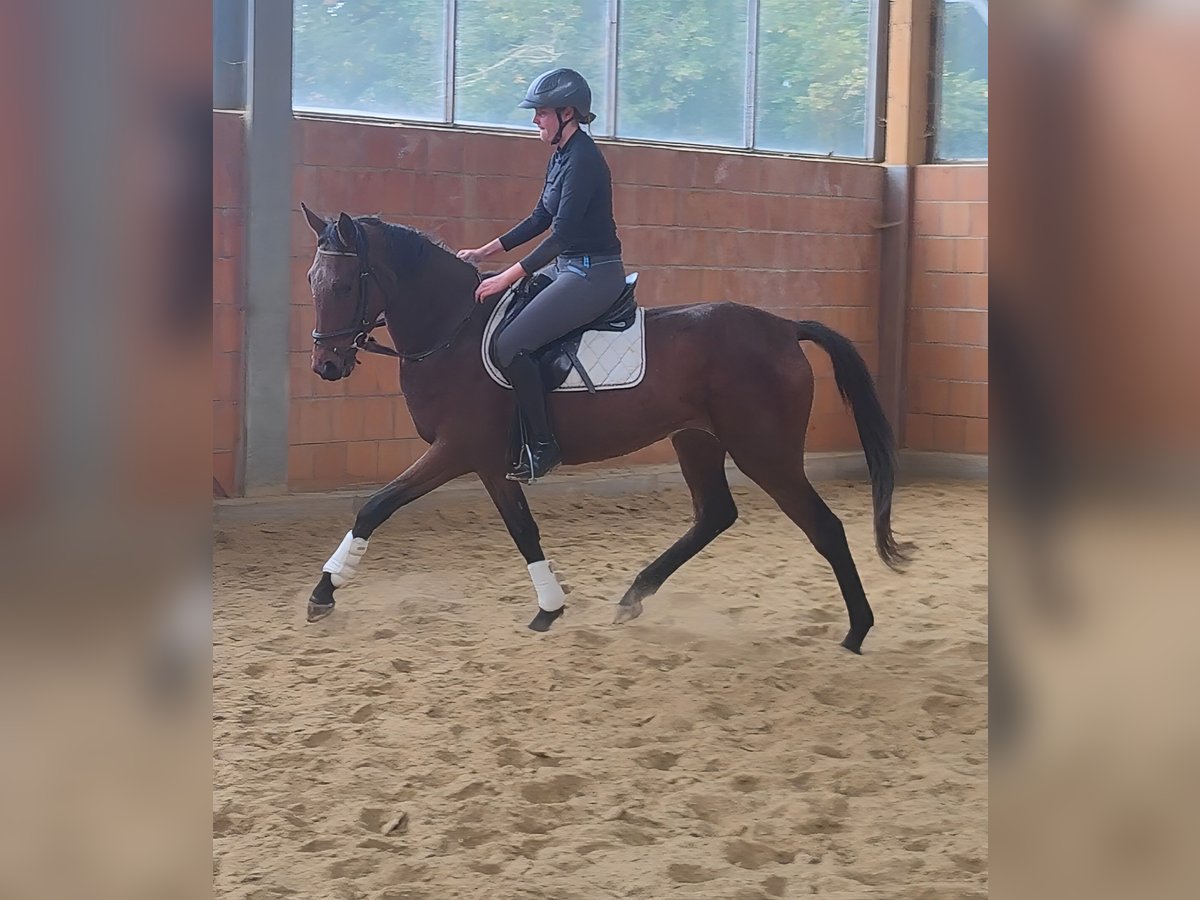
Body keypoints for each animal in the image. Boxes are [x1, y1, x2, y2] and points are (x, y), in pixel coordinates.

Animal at [300, 204, 909, 653]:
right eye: (312, 280)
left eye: (344, 284)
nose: (326, 365)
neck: (454, 331)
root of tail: (783, 327)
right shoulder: (491, 463)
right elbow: (521, 531)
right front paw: (550, 609)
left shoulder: (460, 450)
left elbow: (377, 507)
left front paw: (324, 591)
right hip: (697, 439)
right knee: (715, 514)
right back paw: (633, 596)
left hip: (766, 451)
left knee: (824, 526)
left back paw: (856, 631)